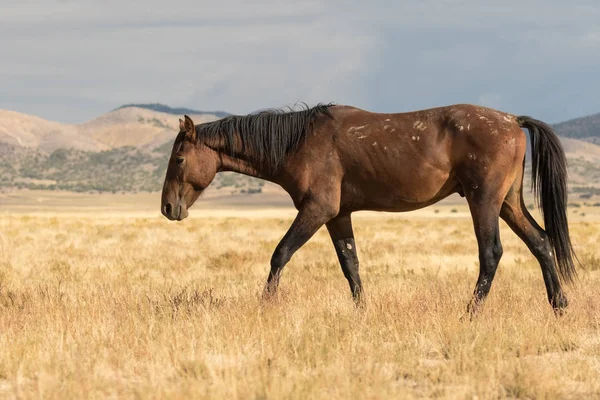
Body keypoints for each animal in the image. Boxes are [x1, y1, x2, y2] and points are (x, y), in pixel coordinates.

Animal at [159, 103, 576, 316]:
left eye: (179, 159)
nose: (167, 208)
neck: (299, 141)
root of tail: (512, 120)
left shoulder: (317, 210)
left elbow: (280, 253)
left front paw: (266, 305)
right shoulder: (338, 215)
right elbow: (350, 264)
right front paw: (362, 311)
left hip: (484, 201)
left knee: (491, 253)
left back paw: (470, 312)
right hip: (508, 203)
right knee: (541, 242)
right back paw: (559, 306)